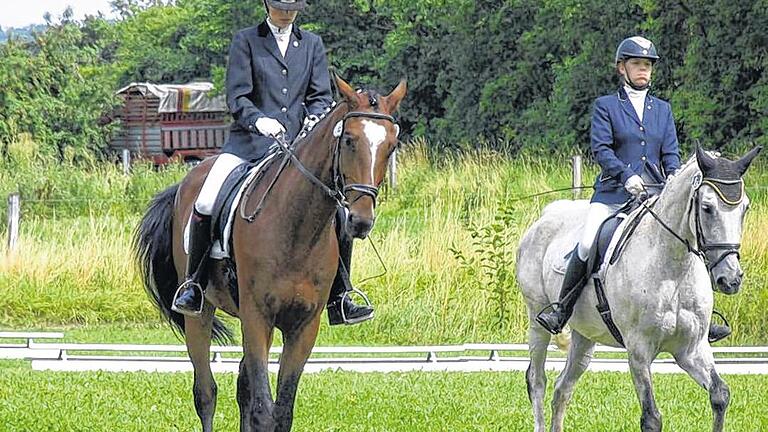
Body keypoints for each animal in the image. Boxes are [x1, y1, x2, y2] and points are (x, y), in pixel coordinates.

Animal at [134, 76, 408, 430]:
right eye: (349, 140)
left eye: (391, 146)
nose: (360, 221)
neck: (296, 229)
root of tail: (187, 180)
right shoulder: (257, 317)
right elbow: (264, 410)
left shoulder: (304, 326)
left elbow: (282, 409)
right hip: (201, 312)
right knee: (206, 392)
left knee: (243, 386)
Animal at [516, 146, 760, 432]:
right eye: (707, 208)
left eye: (745, 208)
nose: (730, 279)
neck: (673, 270)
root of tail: (546, 216)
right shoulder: (639, 350)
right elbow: (651, 418)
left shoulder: (691, 349)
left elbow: (720, 394)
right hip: (536, 320)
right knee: (537, 380)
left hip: (584, 335)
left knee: (562, 388)